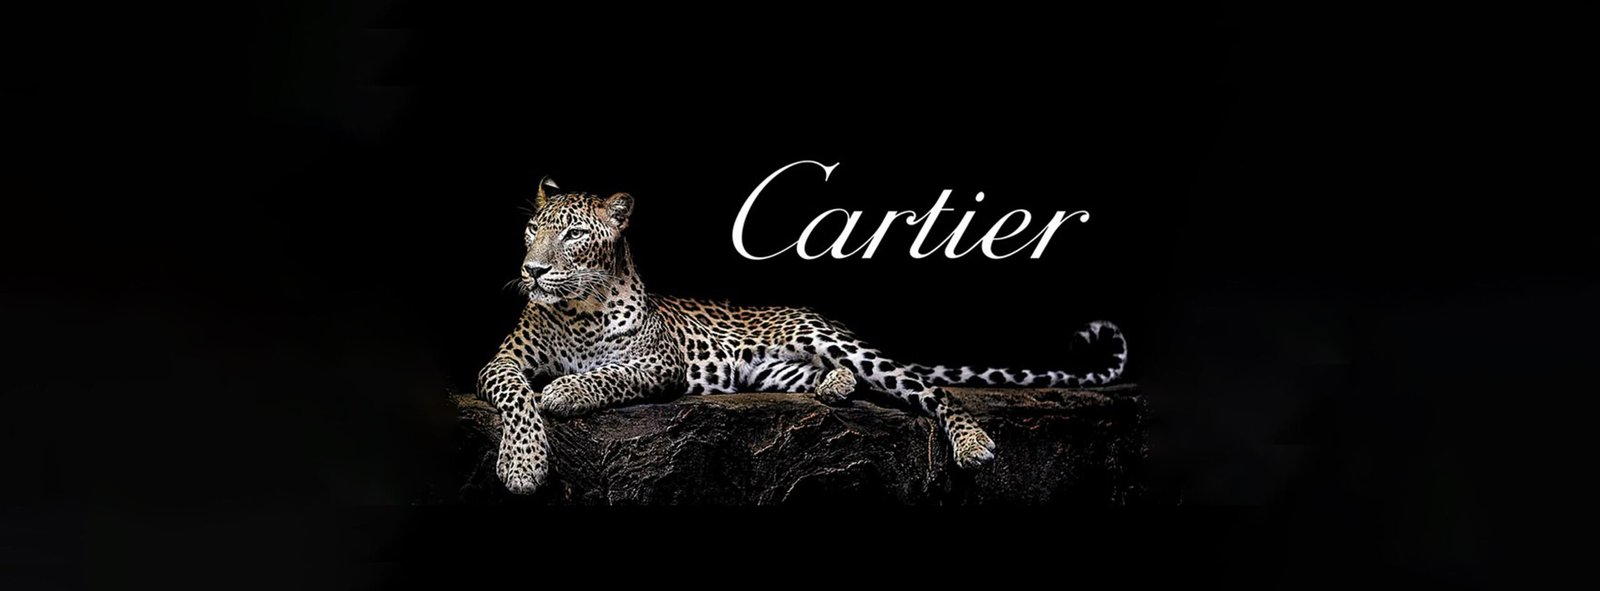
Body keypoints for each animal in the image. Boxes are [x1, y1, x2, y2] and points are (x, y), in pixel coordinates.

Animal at [477, 177, 1129, 494]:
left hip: (841, 344)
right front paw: (523, 464)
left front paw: (565, 392)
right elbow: (518, 399)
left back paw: (970, 443)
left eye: (575, 234)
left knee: (930, 390)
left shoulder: (659, 365)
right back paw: (834, 389)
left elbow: (611, 375)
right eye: (533, 229)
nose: (532, 270)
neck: (578, 310)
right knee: (827, 376)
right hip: (770, 368)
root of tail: (815, 315)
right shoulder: (500, 363)